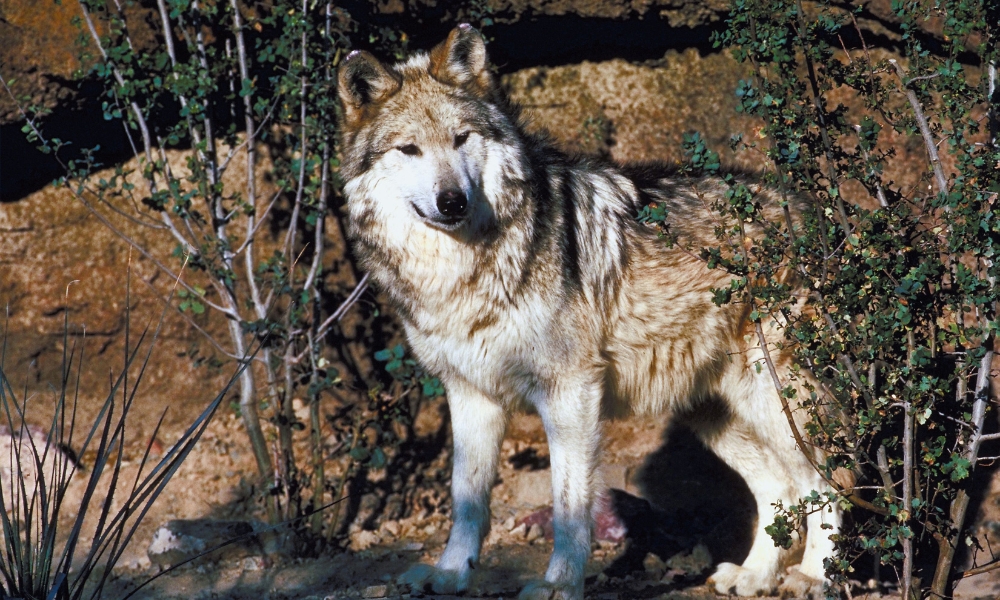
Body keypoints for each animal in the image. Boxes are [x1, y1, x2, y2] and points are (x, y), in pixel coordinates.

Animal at [336, 25, 840, 600]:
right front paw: (451, 572)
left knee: (829, 480)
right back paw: (755, 576)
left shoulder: (570, 391)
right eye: (410, 149)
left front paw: (559, 584)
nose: (452, 201)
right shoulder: (470, 393)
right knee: (783, 487)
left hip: (775, 401)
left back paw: (812, 576)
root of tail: (813, 210)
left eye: (462, 138)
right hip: (715, 414)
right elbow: (467, 499)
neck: (463, 269)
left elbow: (569, 507)